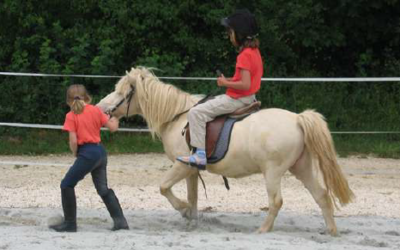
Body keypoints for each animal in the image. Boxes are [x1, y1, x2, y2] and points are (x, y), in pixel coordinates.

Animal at [98, 67, 354, 236]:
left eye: (121, 92)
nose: (101, 107)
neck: (177, 116)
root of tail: (298, 119)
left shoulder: (182, 165)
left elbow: (163, 188)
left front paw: (183, 210)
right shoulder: (191, 170)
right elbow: (193, 196)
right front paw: (192, 220)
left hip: (273, 172)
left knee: (276, 201)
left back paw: (262, 230)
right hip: (301, 167)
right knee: (321, 195)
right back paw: (332, 231)